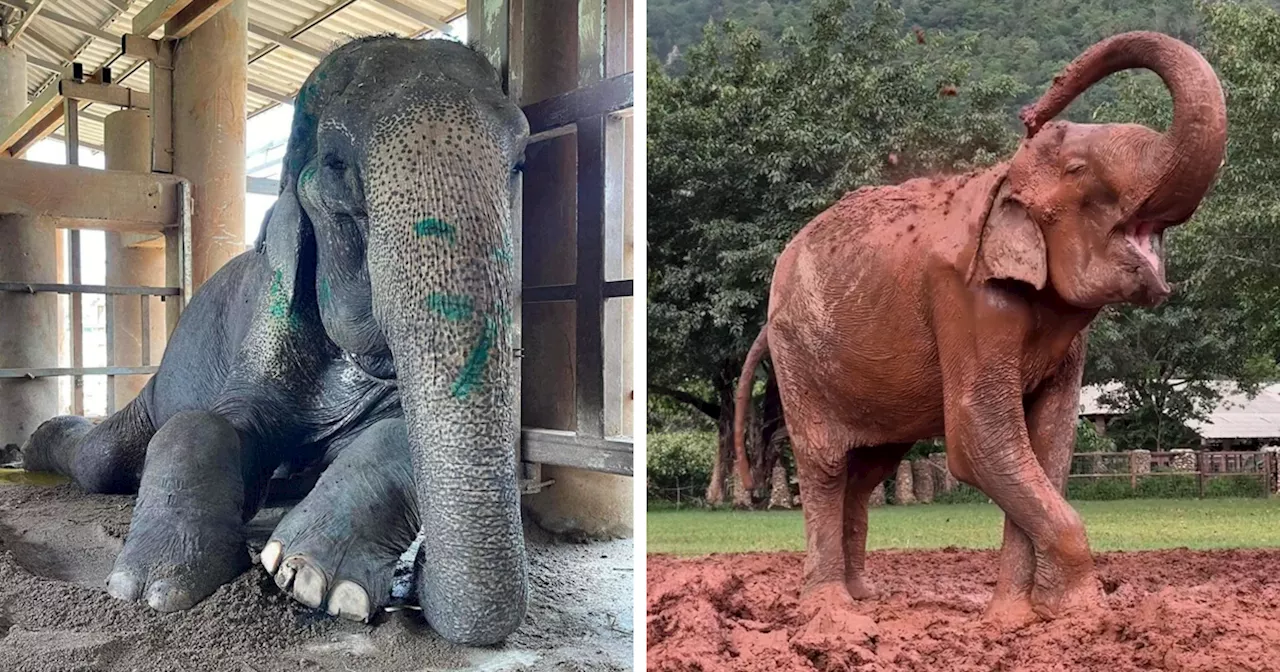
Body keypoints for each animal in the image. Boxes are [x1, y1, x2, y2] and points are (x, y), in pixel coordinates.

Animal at [20, 36, 529, 645]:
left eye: (520, 162)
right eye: (335, 164)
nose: (418, 584)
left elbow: (401, 431)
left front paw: (312, 579)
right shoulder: (270, 310)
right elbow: (208, 422)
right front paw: (153, 588)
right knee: (101, 460)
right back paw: (34, 448)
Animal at [732, 32, 1228, 629]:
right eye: (1078, 169)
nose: (1032, 114)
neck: (1004, 178)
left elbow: (1047, 443)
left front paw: (1019, 617)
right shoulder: (965, 297)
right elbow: (979, 436)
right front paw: (1085, 615)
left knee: (869, 470)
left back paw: (866, 598)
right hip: (800, 361)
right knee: (827, 465)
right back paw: (831, 612)